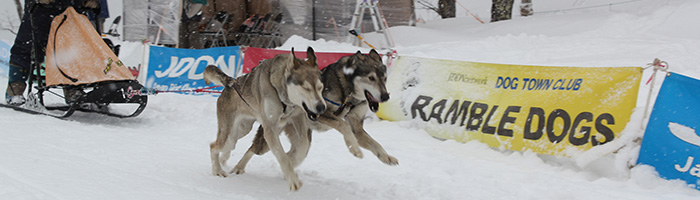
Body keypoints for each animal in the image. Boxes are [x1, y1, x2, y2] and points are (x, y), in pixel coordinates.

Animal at [201, 47, 324, 191]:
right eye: (306, 88)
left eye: (320, 87)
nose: (321, 107)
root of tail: (231, 83)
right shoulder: (270, 128)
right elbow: (282, 157)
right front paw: (292, 178)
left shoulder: (297, 119)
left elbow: (302, 146)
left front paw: (291, 163)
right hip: (229, 135)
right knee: (213, 146)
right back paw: (217, 170)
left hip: (241, 130)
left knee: (228, 146)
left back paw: (225, 159)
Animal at [234, 48, 400, 173]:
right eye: (371, 78)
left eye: (384, 78)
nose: (385, 96)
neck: (347, 91)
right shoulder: (322, 113)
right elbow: (343, 125)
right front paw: (354, 148)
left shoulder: (357, 128)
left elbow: (375, 143)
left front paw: (386, 157)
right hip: (267, 140)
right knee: (252, 149)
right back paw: (237, 168)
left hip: (302, 139)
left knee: (293, 155)